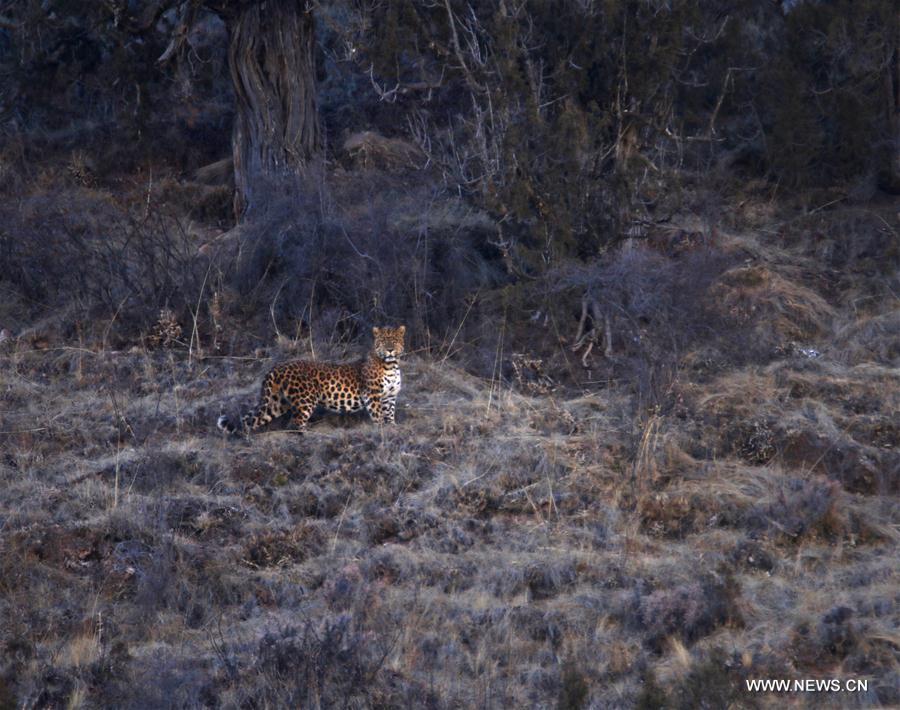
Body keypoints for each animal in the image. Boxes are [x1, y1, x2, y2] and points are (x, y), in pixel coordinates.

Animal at [217, 326, 405, 435]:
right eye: (383, 341)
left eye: (395, 341)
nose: (390, 350)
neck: (391, 365)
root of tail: (276, 367)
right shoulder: (372, 394)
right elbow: (378, 414)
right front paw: (382, 430)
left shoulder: (389, 396)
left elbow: (389, 412)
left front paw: (392, 427)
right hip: (306, 399)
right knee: (296, 421)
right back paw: (308, 434)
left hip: (277, 402)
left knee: (251, 420)